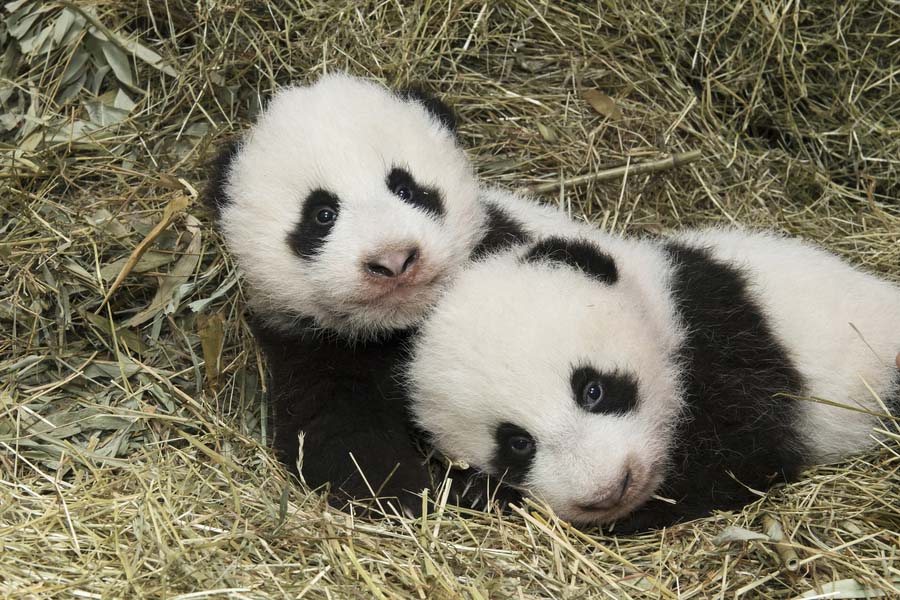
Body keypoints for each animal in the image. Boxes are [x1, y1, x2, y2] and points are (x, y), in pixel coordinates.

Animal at [205, 72, 589, 515]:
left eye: (407, 189)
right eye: (322, 215)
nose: (393, 260)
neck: (400, 326)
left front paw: (476, 488)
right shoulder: (306, 348)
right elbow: (338, 436)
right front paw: (412, 495)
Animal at [407, 228, 900, 530]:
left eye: (593, 390)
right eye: (517, 443)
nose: (610, 490)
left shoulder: (728, 340)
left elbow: (741, 458)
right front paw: (479, 491)